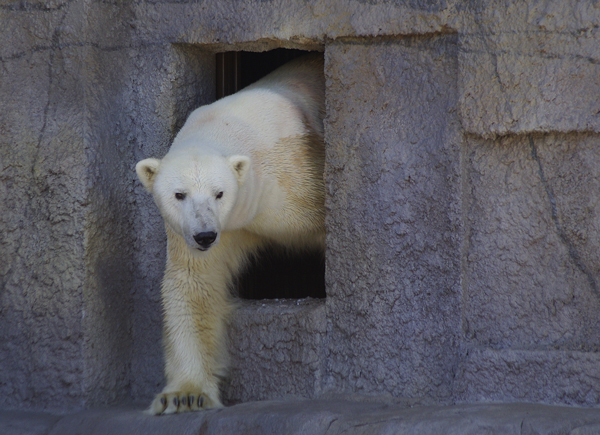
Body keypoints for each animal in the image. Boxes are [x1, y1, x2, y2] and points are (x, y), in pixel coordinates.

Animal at [135, 54, 324, 416]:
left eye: (219, 193)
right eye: (179, 195)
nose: (206, 235)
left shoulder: (299, 172)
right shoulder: (207, 229)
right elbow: (194, 283)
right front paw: (185, 395)